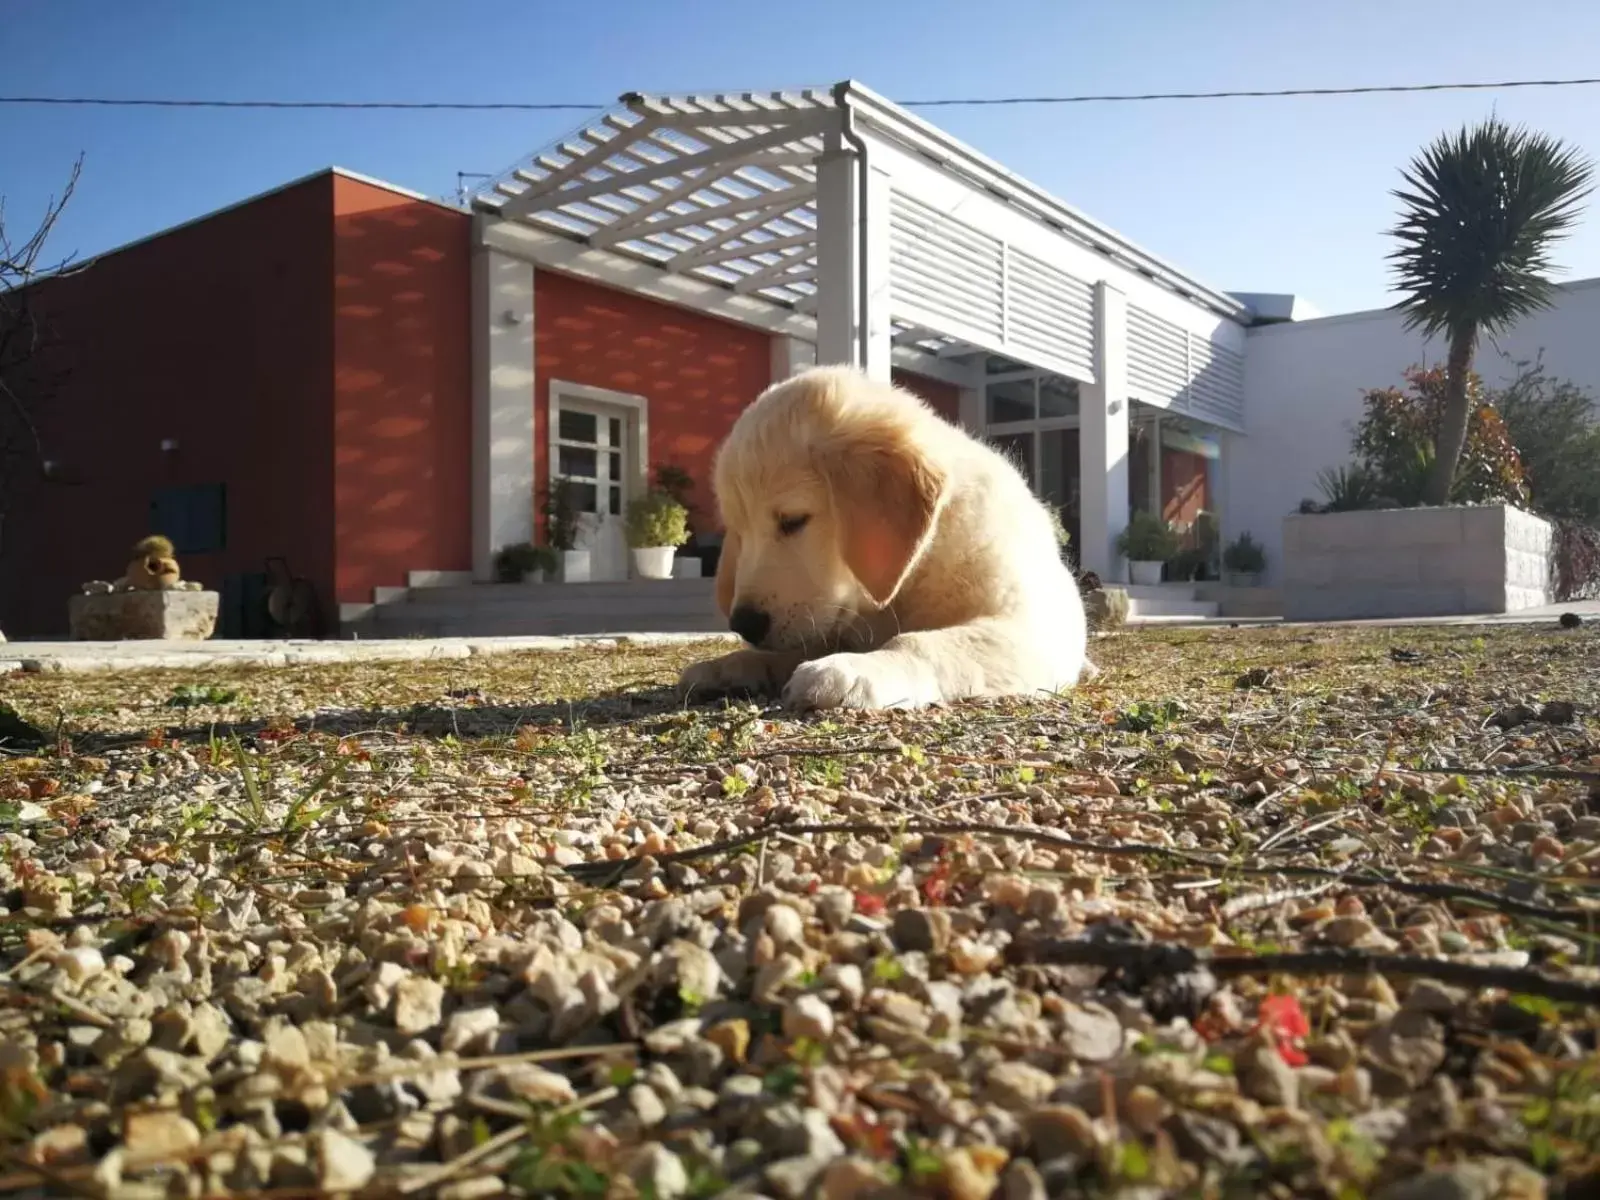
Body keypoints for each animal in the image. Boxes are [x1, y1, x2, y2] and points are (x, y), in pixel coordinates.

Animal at [681, 364, 1094, 704]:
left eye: (793, 520)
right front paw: (731, 664)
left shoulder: (1030, 626)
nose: (744, 624)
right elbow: (791, 647)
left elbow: (922, 642)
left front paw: (854, 669)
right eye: (739, 532)